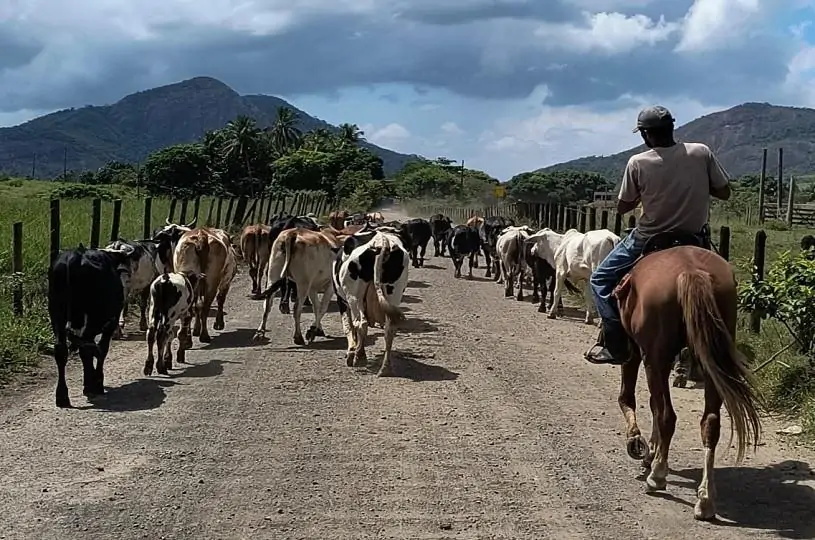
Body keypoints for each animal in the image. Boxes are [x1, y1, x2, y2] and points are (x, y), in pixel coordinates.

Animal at [330, 228, 408, 376]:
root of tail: (382, 241)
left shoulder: (341, 301)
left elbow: (348, 326)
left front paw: (351, 352)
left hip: (355, 297)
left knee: (361, 323)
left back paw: (359, 357)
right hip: (394, 294)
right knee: (390, 329)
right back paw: (385, 368)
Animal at [616, 244, 760, 520]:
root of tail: (692, 272)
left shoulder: (637, 352)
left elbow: (630, 399)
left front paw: (639, 445)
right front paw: (651, 450)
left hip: (656, 360)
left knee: (666, 415)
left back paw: (657, 477)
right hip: (711, 359)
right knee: (710, 423)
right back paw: (705, 499)